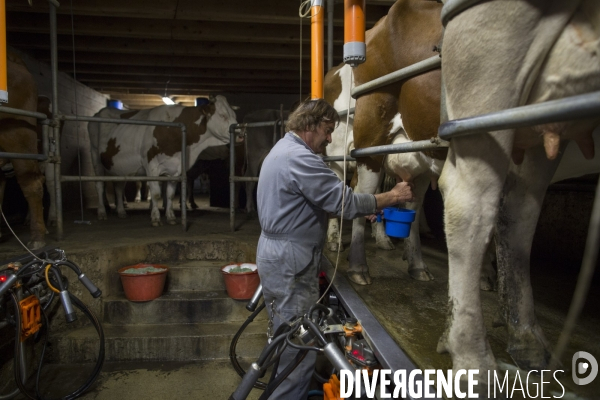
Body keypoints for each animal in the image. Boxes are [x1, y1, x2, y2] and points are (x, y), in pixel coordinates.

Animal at [89, 94, 239, 225]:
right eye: (223, 115)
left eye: (234, 115)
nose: (240, 133)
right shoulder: (152, 167)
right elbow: (156, 194)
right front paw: (155, 218)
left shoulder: (175, 169)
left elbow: (170, 195)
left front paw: (171, 217)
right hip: (96, 158)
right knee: (99, 185)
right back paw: (102, 212)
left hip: (119, 167)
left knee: (119, 186)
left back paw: (121, 211)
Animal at [436, 0, 600, 378]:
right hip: (490, 76)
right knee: (470, 203)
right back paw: (473, 358)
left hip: (541, 119)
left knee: (518, 211)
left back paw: (526, 338)